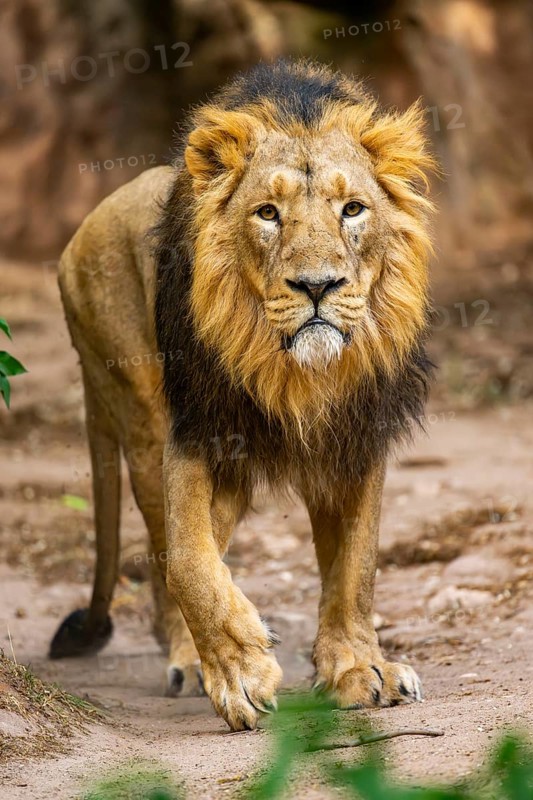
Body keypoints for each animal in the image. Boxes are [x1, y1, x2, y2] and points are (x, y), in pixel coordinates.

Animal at [50, 60, 435, 731]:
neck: (299, 373)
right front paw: (239, 672)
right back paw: (192, 662)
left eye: (353, 209)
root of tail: (81, 232)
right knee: (165, 552)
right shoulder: (198, 428)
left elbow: (356, 564)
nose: (317, 286)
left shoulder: (356, 435)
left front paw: (359, 668)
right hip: (141, 413)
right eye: (267, 213)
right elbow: (187, 559)